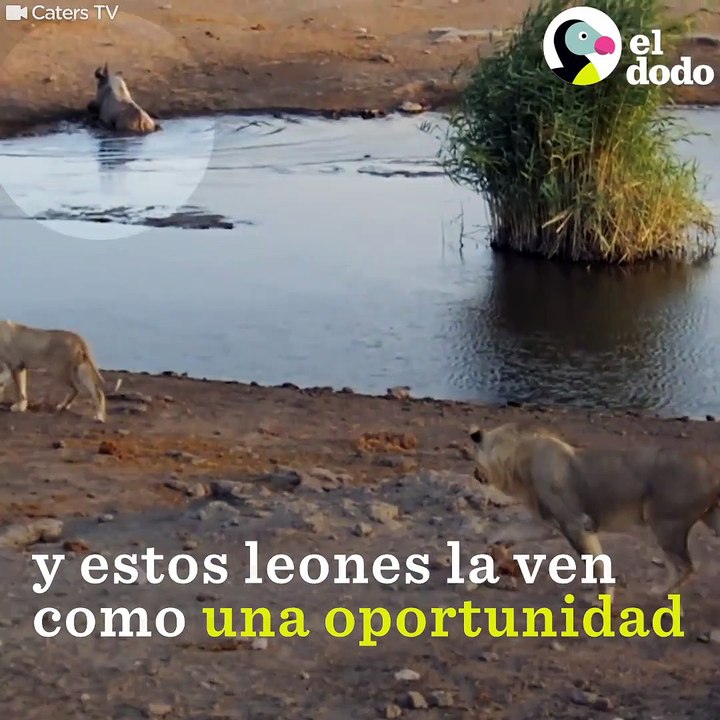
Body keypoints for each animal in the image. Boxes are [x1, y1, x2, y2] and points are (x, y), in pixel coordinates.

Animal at [468, 421, 720, 601]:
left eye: (474, 459)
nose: (474, 474)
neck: (518, 460)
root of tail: (712, 470)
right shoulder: (548, 523)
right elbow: (510, 530)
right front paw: (495, 542)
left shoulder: (576, 523)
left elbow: (596, 564)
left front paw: (604, 597)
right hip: (703, 520)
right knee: (682, 565)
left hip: (665, 523)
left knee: (685, 566)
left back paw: (658, 591)